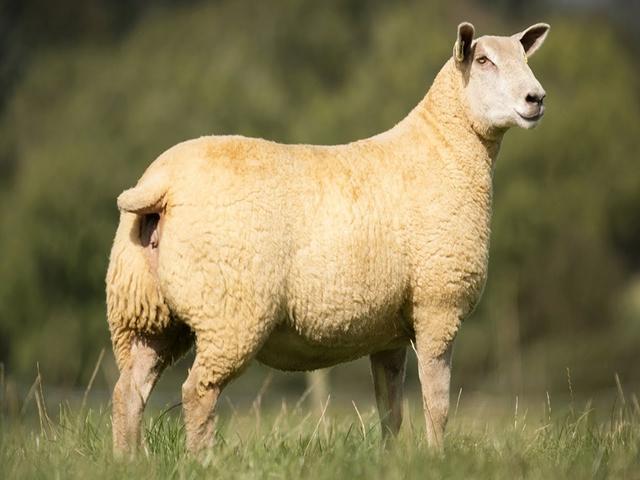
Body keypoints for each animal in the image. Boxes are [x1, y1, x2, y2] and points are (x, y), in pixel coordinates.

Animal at [106, 21, 550, 456]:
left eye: (524, 56)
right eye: (483, 60)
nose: (537, 98)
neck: (443, 149)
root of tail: (162, 183)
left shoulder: (388, 331)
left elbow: (390, 410)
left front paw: (391, 461)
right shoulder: (438, 305)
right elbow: (437, 405)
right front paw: (437, 460)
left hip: (144, 312)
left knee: (128, 392)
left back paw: (129, 462)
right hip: (229, 312)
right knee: (198, 392)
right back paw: (203, 461)